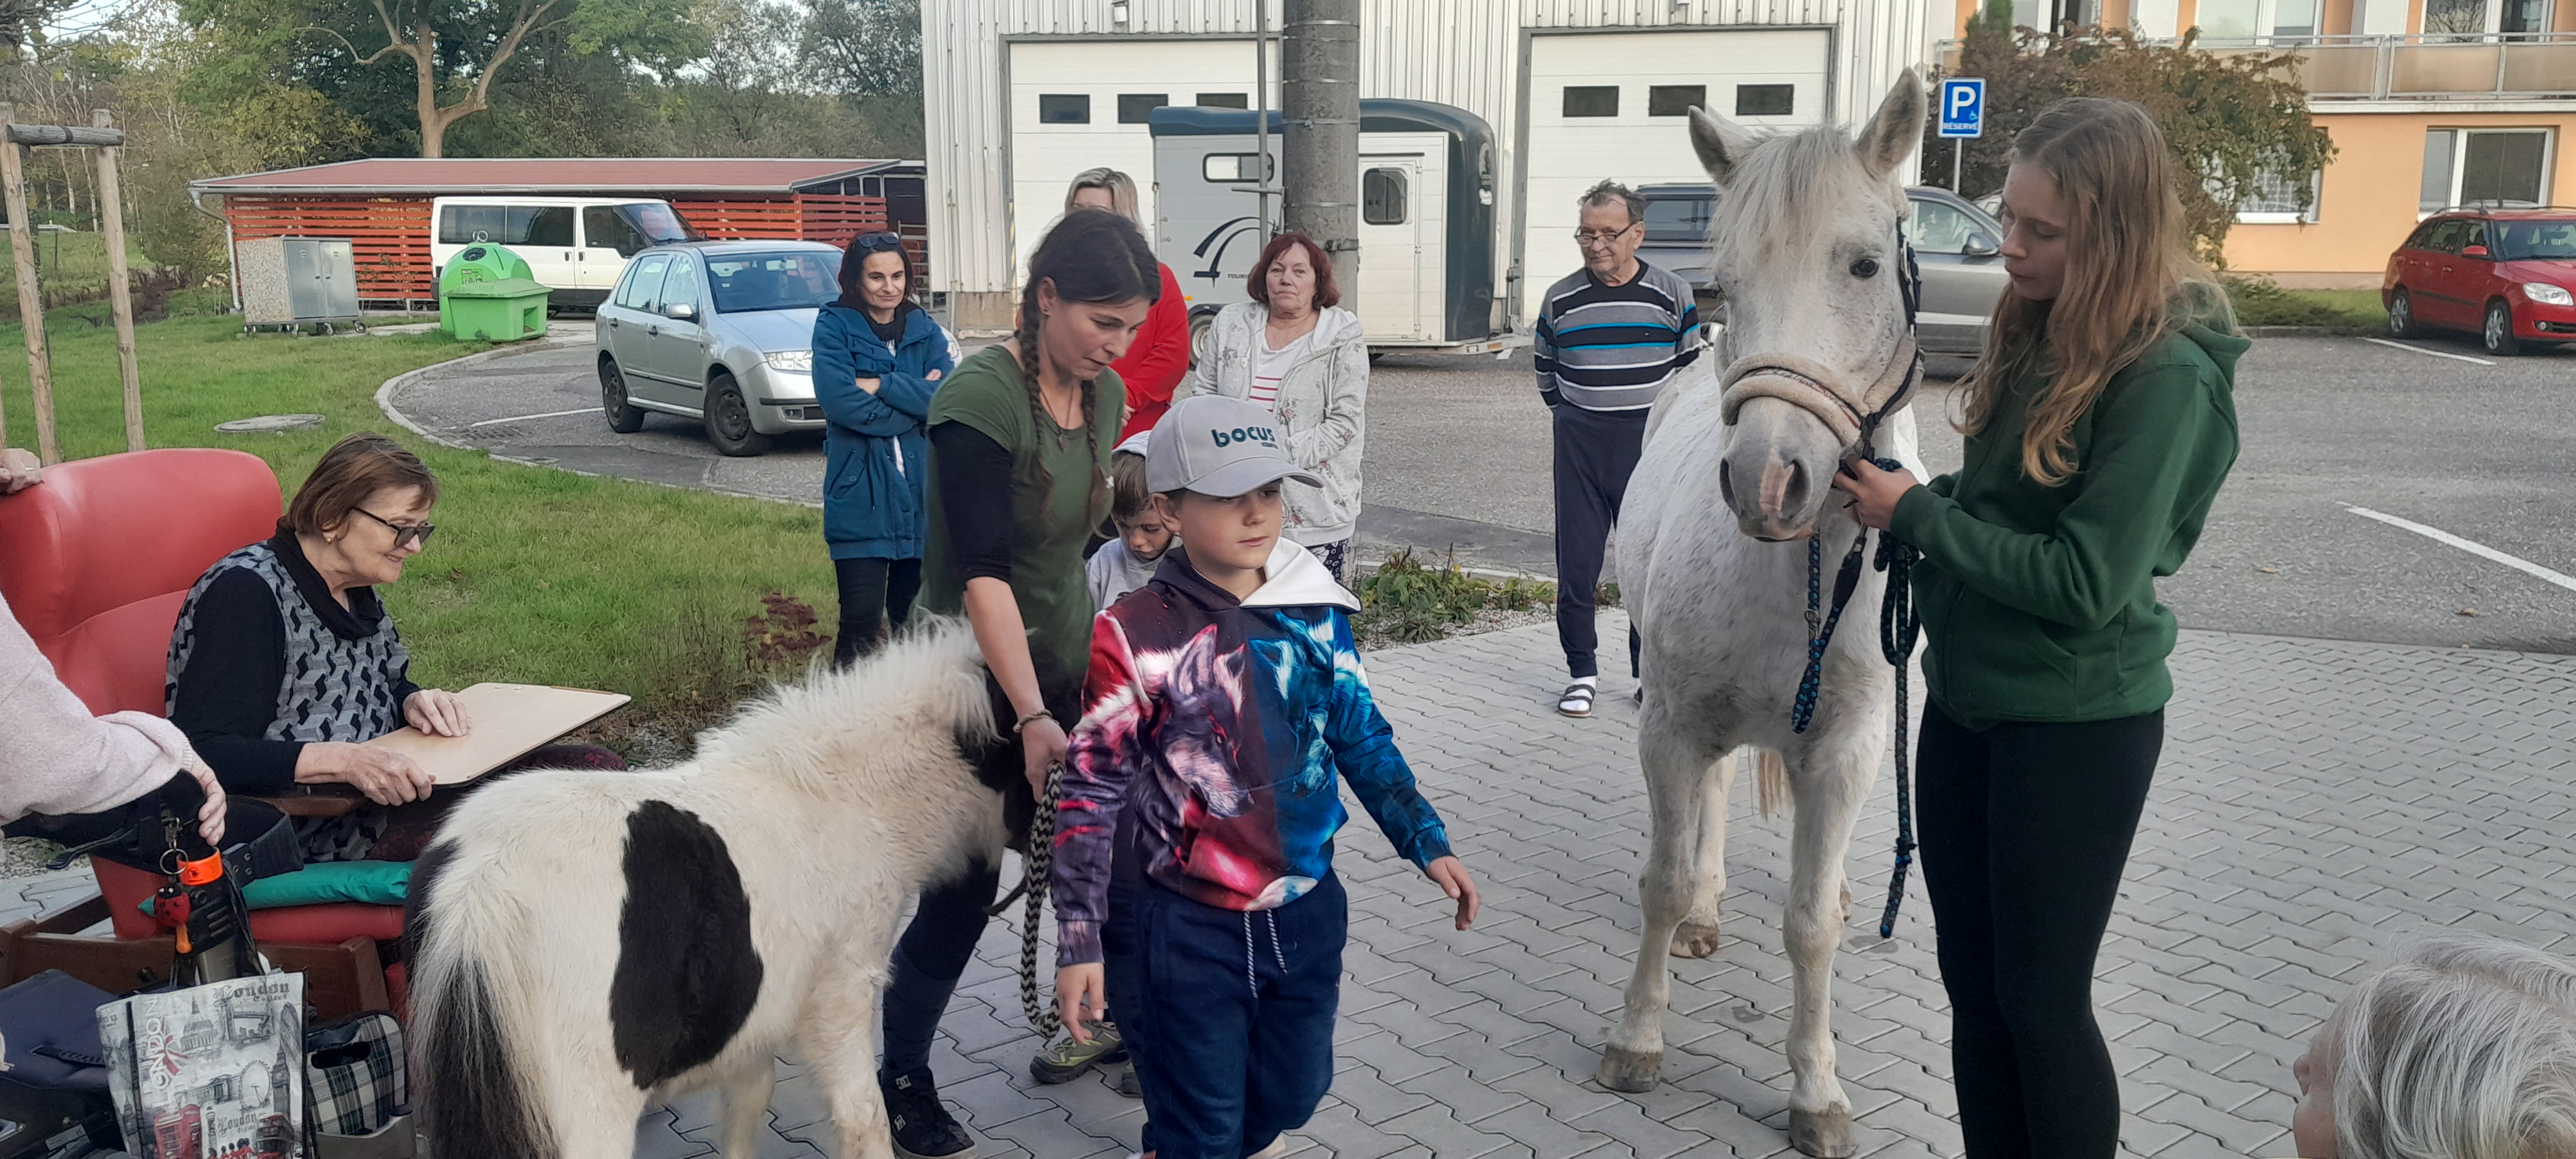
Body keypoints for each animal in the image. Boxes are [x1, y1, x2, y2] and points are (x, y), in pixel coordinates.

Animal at [406, 618, 1012, 1159]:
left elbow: (748, 1112)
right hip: (591, 1115)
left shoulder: (748, 1033)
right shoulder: (842, 998)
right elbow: (864, 1118)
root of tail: (486, 876)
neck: (846, 798)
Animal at [1597, 69, 1932, 1159]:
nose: (1767, 481)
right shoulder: (1669, 725)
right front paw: (1637, 1039)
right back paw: (1704, 912)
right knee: (1705, 807)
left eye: (1864, 265)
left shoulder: (1848, 752)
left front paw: (1816, 1090)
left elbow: (1811, 922)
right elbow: (1662, 880)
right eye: (1726, 285)